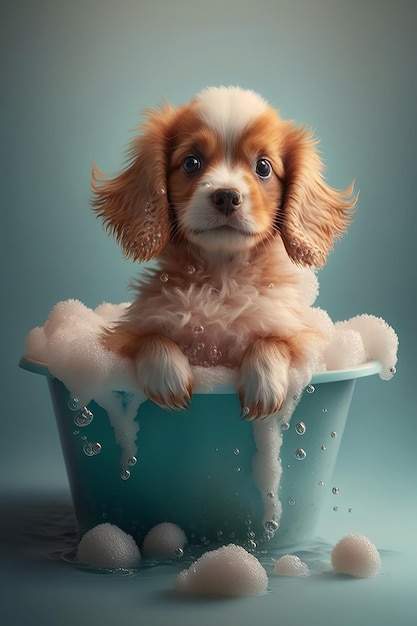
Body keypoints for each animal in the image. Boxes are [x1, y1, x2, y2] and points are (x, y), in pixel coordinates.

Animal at [90, 85, 354, 420]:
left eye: (263, 167)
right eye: (191, 163)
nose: (226, 196)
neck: (221, 277)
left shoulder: (300, 335)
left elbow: (269, 339)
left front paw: (264, 385)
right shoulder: (120, 337)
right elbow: (150, 338)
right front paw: (169, 376)